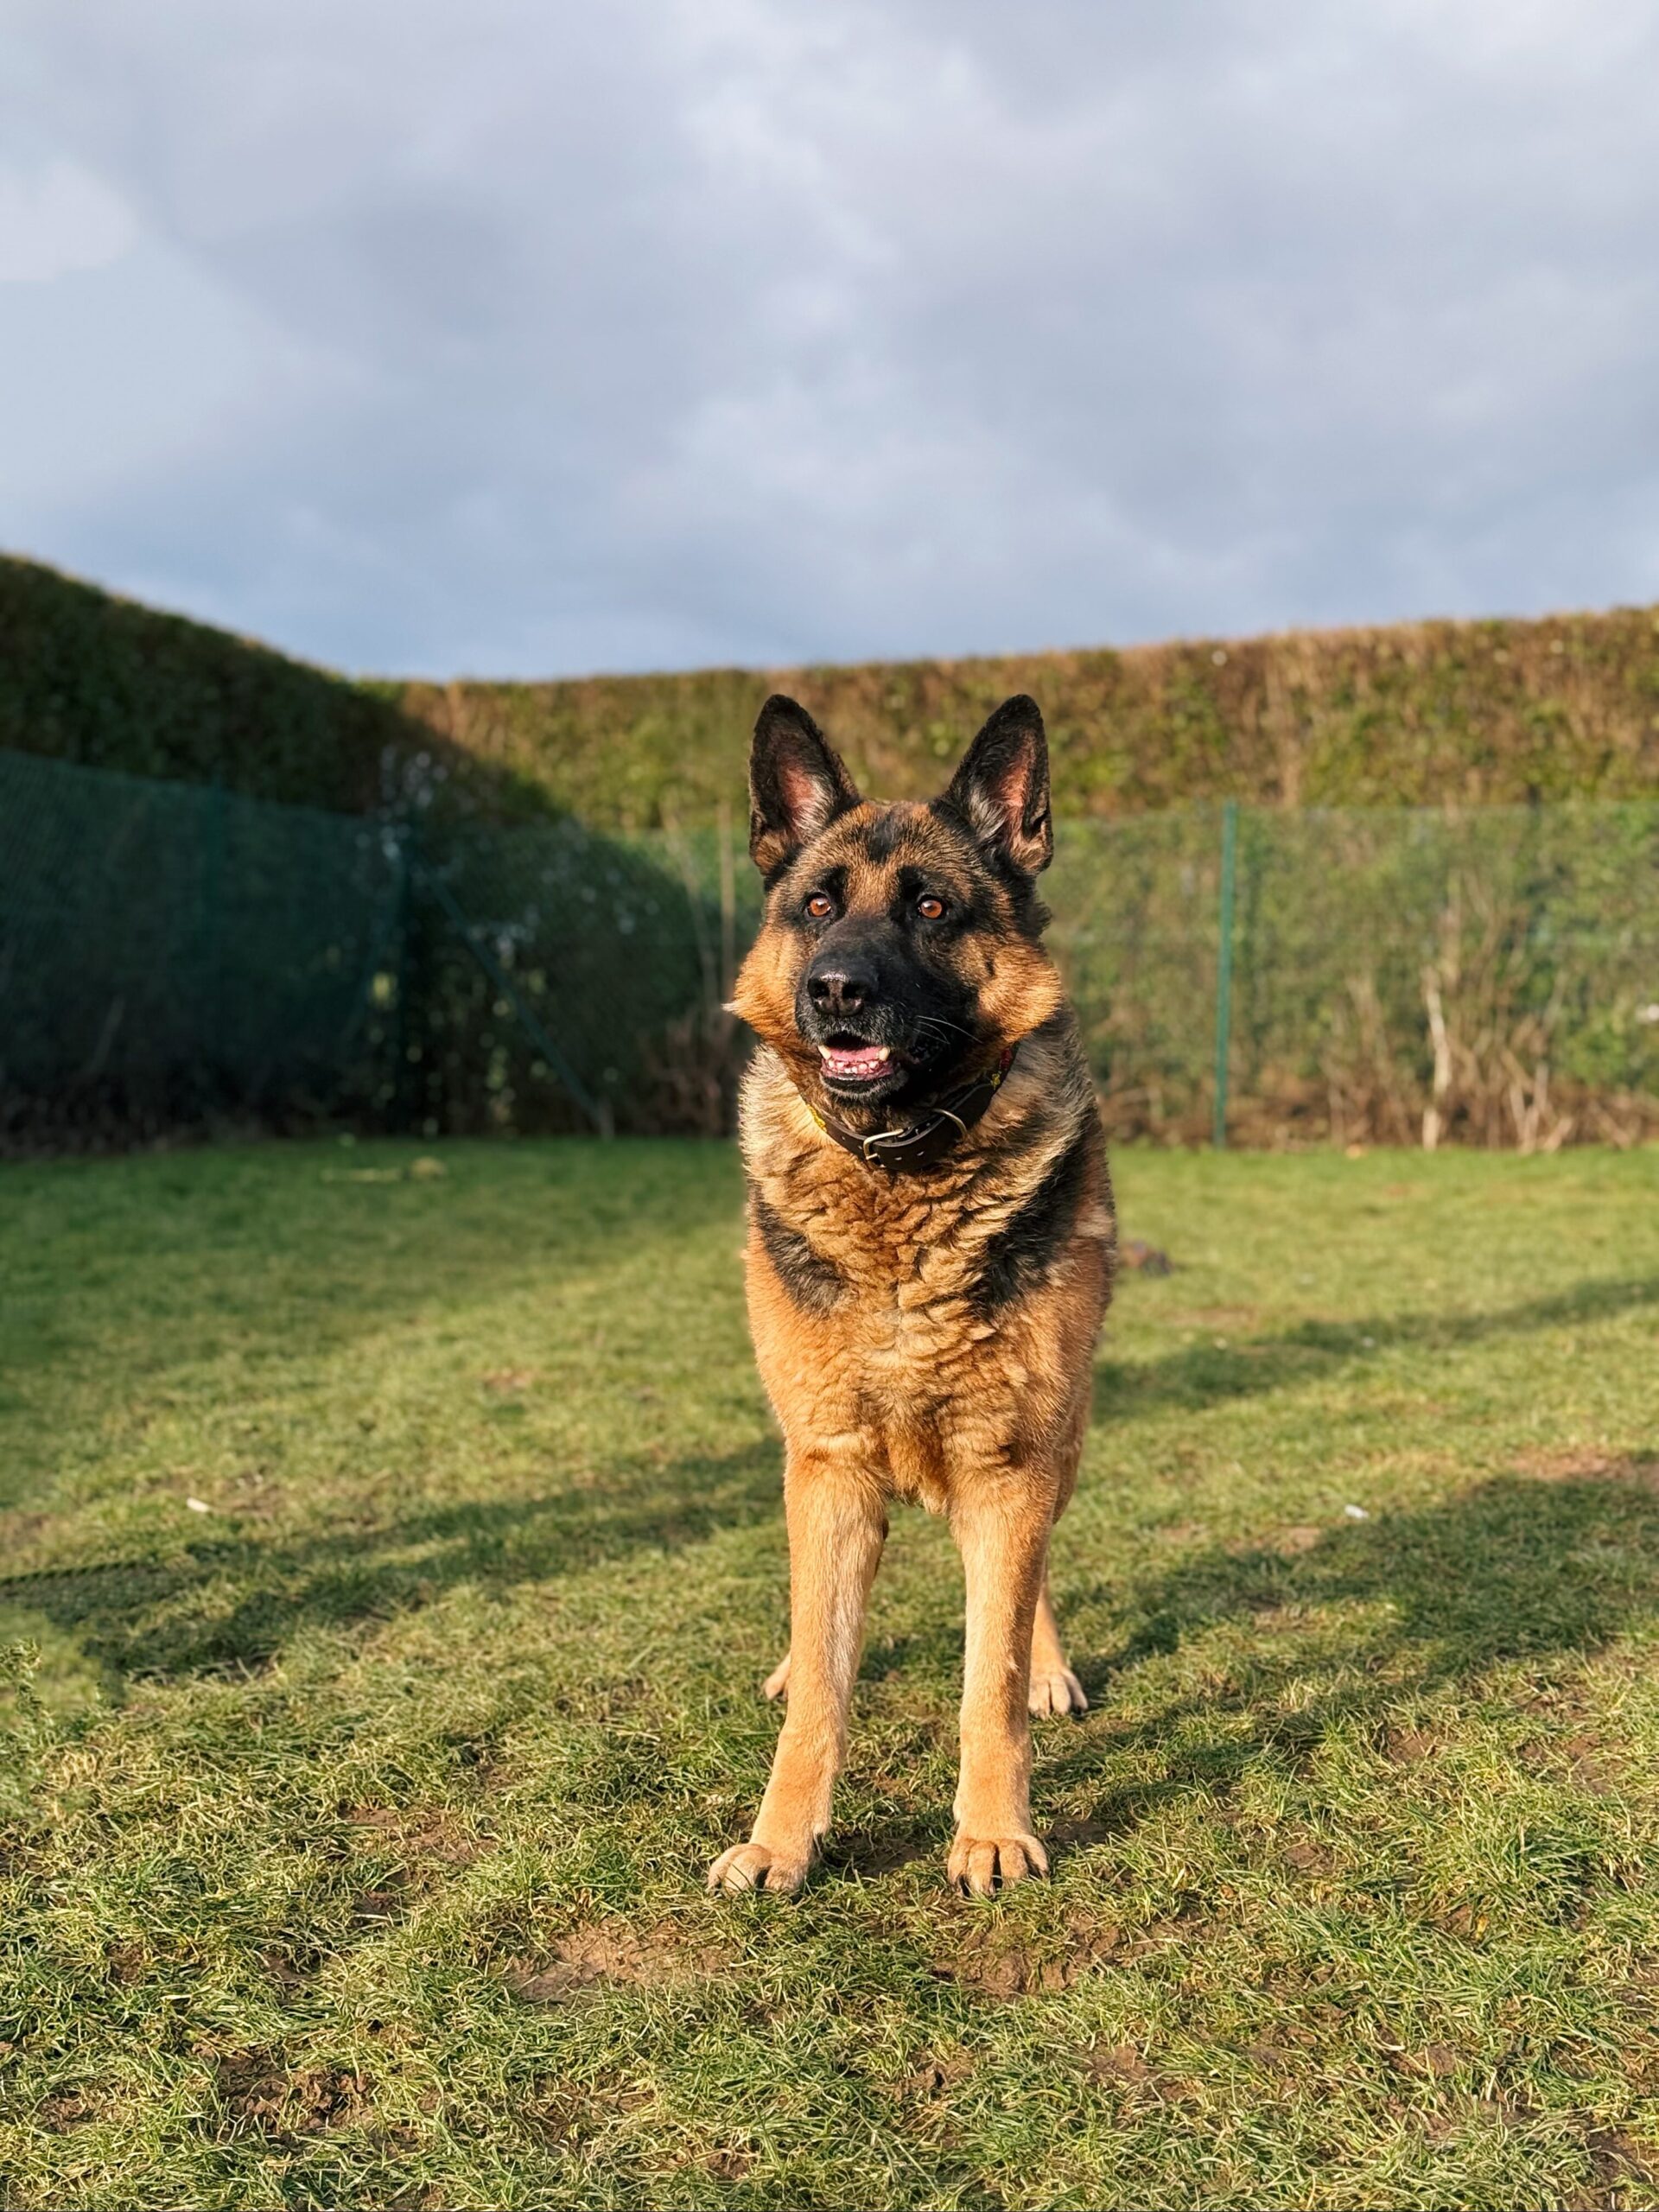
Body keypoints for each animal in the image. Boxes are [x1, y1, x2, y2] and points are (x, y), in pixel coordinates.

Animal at [709, 692, 1115, 1898]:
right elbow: (823, 1689)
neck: (901, 1172)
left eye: (932, 907)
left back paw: (1049, 1665)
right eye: (818, 906)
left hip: (1059, 1446)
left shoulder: (1009, 1463)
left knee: (1028, 1591)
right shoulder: (831, 1464)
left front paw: (992, 1829)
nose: (836, 990)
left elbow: (991, 1675)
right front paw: (783, 1838)